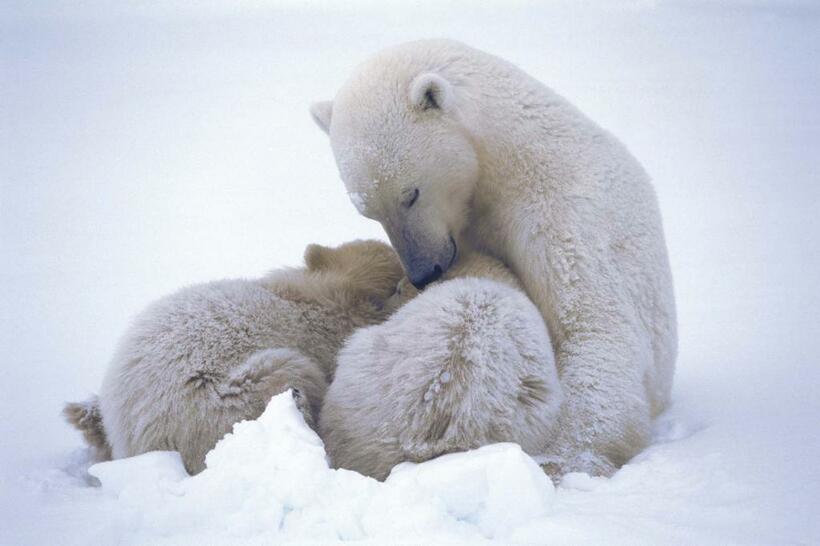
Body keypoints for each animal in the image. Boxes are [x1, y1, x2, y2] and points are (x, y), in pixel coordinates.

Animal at [310, 40, 676, 474]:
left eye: (410, 194)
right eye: (368, 210)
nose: (424, 271)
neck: (513, 160)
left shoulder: (563, 217)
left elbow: (596, 328)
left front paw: (563, 457)